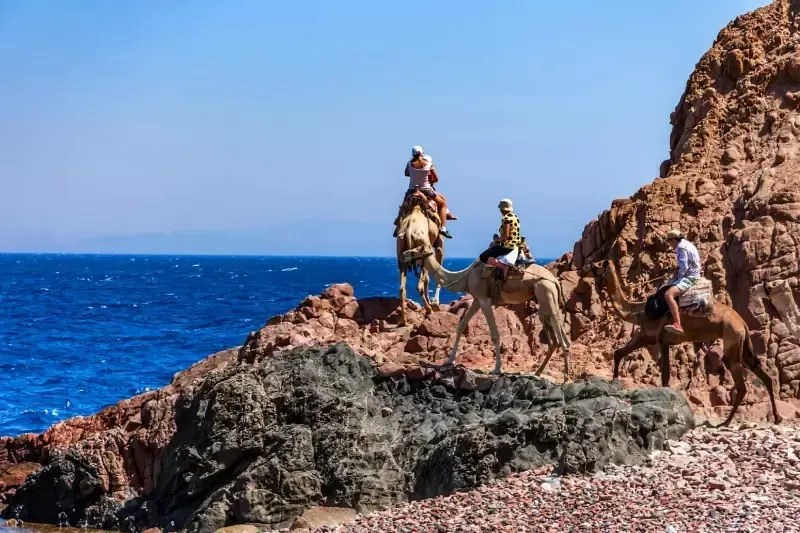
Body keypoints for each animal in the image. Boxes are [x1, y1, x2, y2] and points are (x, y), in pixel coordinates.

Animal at [401, 244, 571, 377]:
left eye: (415, 250)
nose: (403, 255)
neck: (465, 277)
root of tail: (554, 279)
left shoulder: (484, 300)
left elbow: (495, 335)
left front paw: (496, 369)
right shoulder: (476, 300)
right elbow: (460, 326)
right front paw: (449, 360)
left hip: (544, 289)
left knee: (556, 326)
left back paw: (565, 376)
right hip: (546, 296)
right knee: (554, 326)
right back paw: (539, 372)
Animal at [591, 259, 782, 426]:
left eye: (599, 265)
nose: (590, 267)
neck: (637, 311)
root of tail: (743, 323)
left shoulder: (657, 338)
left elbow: (665, 376)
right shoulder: (652, 338)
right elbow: (619, 353)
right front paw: (614, 383)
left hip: (731, 337)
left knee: (740, 383)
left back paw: (726, 422)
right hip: (743, 346)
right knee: (764, 375)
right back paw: (777, 418)